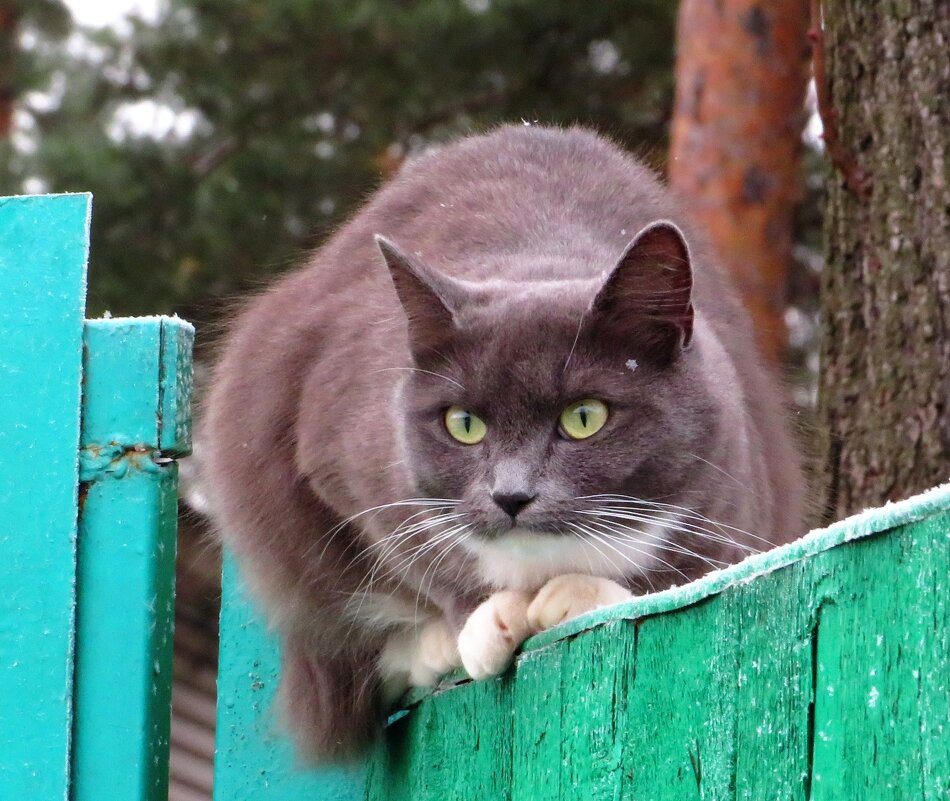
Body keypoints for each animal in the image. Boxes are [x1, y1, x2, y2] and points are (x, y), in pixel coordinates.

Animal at [205, 123, 808, 756]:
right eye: (463, 423)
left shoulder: (733, 490)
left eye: (584, 416)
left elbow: (684, 581)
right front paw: (485, 624)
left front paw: (576, 596)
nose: (510, 496)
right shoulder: (341, 452)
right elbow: (412, 554)